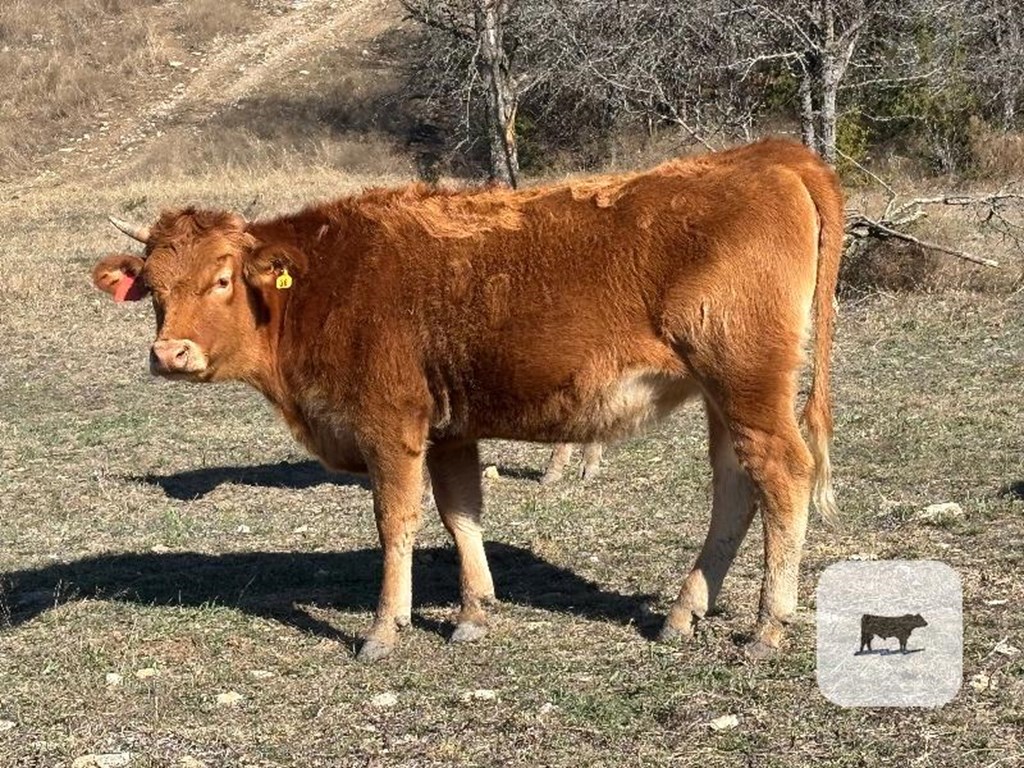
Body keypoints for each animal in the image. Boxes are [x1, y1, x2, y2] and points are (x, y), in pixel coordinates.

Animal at [90, 141, 839, 663]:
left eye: (221, 278)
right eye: (153, 284)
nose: (170, 354)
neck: (323, 284)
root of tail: (768, 155)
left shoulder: (388, 425)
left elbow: (396, 523)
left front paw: (384, 629)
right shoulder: (450, 430)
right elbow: (460, 515)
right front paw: (475, 613)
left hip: (747, 380)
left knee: (784, 474)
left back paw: (769, 625)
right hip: (724, 393)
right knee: (735, 485)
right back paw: (684, 613)